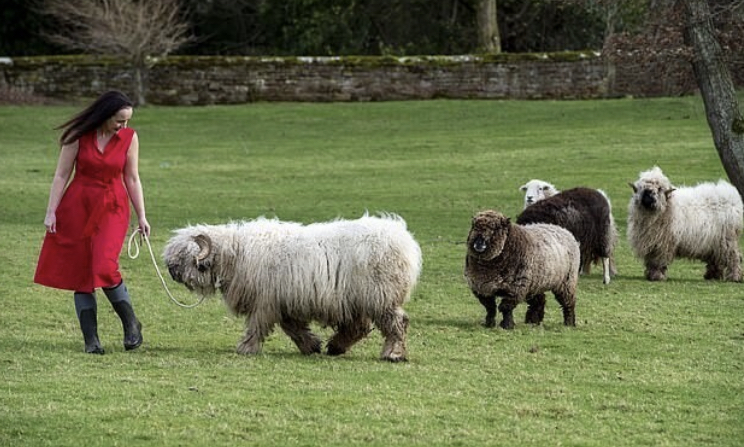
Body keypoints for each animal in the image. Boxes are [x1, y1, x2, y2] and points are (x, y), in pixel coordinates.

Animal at [162, 213, 422, 362]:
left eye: (184, 256)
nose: (170, 270)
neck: (235, 254)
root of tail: (403, 239)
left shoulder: (265, 302)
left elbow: (257, 326)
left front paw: (246, 348)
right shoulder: (284, 302)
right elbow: (293, 328)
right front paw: (311, 346)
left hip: (381, 296)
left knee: (396, 324)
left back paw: (394, 354)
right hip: (357, 300)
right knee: (358, 327)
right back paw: (336, 347)